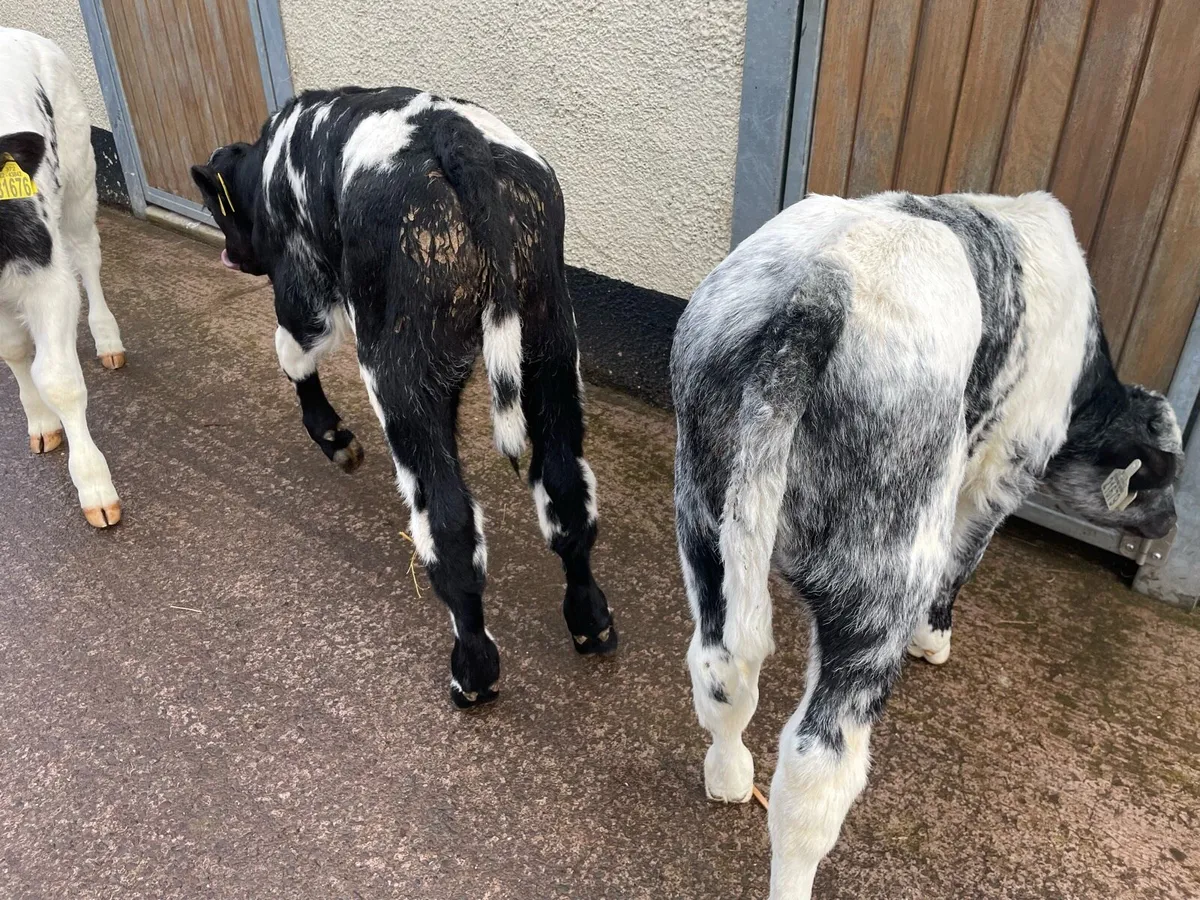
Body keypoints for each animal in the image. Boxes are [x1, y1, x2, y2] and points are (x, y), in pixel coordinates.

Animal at [0, 27, 126, 528]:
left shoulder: (45, 279)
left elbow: (58, 378)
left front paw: (94, 485)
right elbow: (14, 350)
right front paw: (40, 422)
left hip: (78, 175)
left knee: (87, 256)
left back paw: (108, 339)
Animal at [190, 87, 617, 708]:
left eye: (217, 208)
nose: (232, 255)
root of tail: (455, 136)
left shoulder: (304, 292)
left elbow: (292, 355)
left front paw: (333, 436)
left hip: (400, 378)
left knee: (448, 523)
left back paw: (473, 671)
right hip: (552, 348)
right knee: (565, 489)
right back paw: (590, 621)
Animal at [671, 190, 1182, 898]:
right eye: (1164, 480)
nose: (1172, 525)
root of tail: (818, 289)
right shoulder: (1001, 471)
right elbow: (964, 562)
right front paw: (934, 641)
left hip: (704, 518)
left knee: (718, 669)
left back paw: (728, 775)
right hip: (883, 575)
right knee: (815, 771)